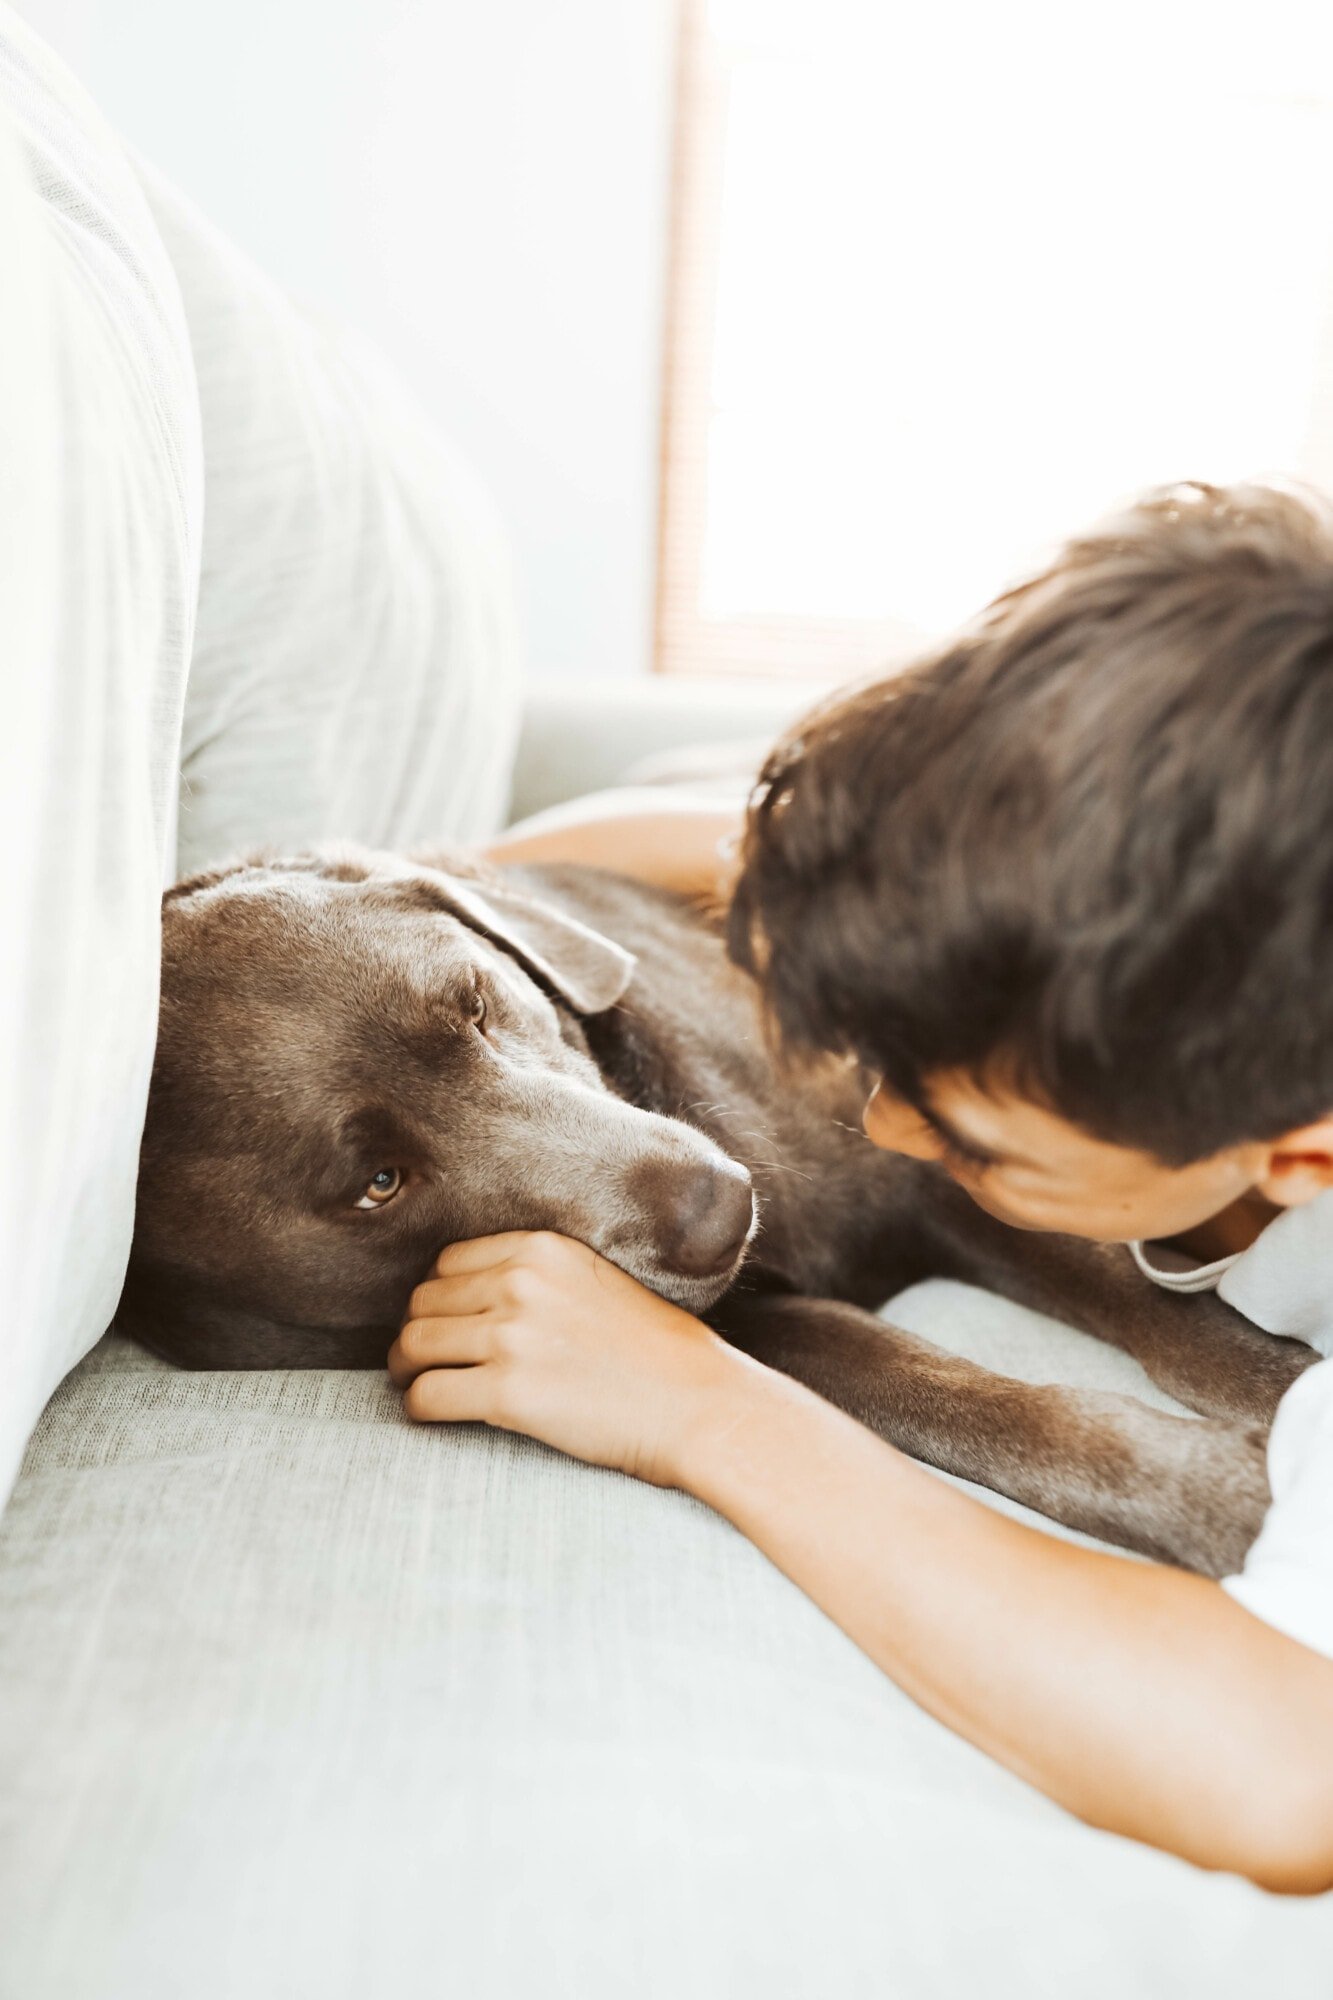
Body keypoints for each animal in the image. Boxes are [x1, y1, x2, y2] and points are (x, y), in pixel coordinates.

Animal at [122, 844, 1304, 1576]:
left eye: (479, 1005)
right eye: (378, 1183)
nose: (714, 1206)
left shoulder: (950, 1173)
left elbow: (1171, 1315)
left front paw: (1281, 1390)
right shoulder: (757, 1317)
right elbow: (944, 1389)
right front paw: (1220, 1494)